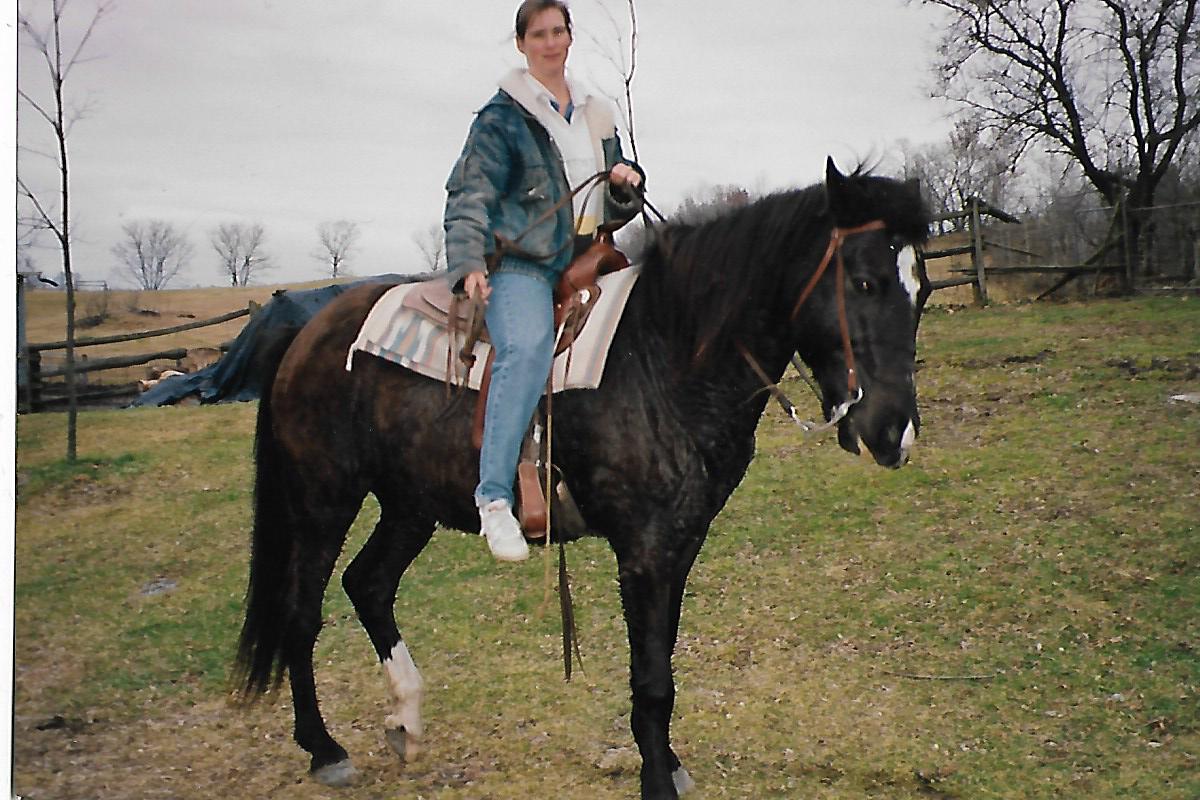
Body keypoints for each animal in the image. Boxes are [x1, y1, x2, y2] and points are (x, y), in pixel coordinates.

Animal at [233, 159, 931, 799]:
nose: (894, 431)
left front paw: (667, 766)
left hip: (410, 504)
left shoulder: (681, 543)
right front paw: (658, 781)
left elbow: (660, 665)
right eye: (864, 281)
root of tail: (306, 332)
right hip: (324, 500)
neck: (664, 357)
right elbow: (650, 682)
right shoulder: (644, 552)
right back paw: (324, 748)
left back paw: (404, 720)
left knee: (369, 585)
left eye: (920, 290)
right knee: (303, 610)